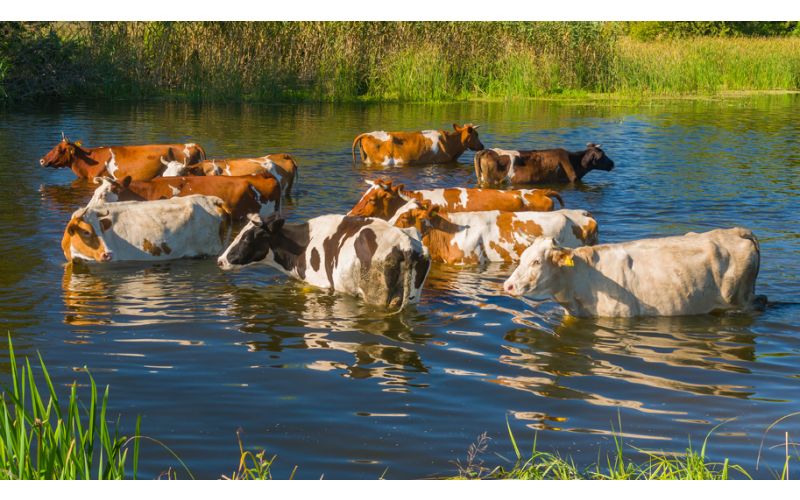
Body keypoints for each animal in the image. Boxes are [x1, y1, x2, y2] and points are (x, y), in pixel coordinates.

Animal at [217, 213, 431, 310]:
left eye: (247, 238)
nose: (220, 260)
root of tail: (404, 242)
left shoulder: (318, 284)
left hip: (376, 296)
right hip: (412, 297)